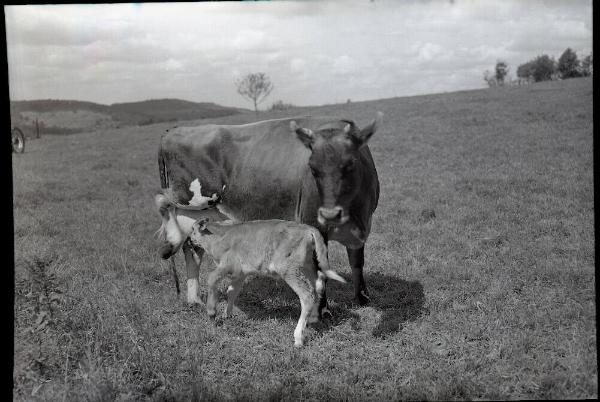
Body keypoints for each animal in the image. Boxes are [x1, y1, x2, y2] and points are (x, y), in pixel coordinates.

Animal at [157, 111, 382, 316]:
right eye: (312, 168)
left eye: (351, 163)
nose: (329, 213)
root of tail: (172, 131)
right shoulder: (313, 223)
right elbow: (320, 268)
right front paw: (323, 310)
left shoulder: (363, 225)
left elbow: (357, 262)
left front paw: (362, 298)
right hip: (189, 201)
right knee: (167, 209)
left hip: (201, 212)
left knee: (193, 248)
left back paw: (194, 300)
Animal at [188, 217, 346, 346]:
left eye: (192, 230)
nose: (189, 241)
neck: (219, 237)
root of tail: (308, 228)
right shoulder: (240, 273)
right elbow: (232, 291)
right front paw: (227, 315)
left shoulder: (228, 265)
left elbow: (211, 278)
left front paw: (211, 313)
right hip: (306, 265)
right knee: (319, 283)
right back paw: (312, 318)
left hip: (289, 269)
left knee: (307, 295)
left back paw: (298, 338)